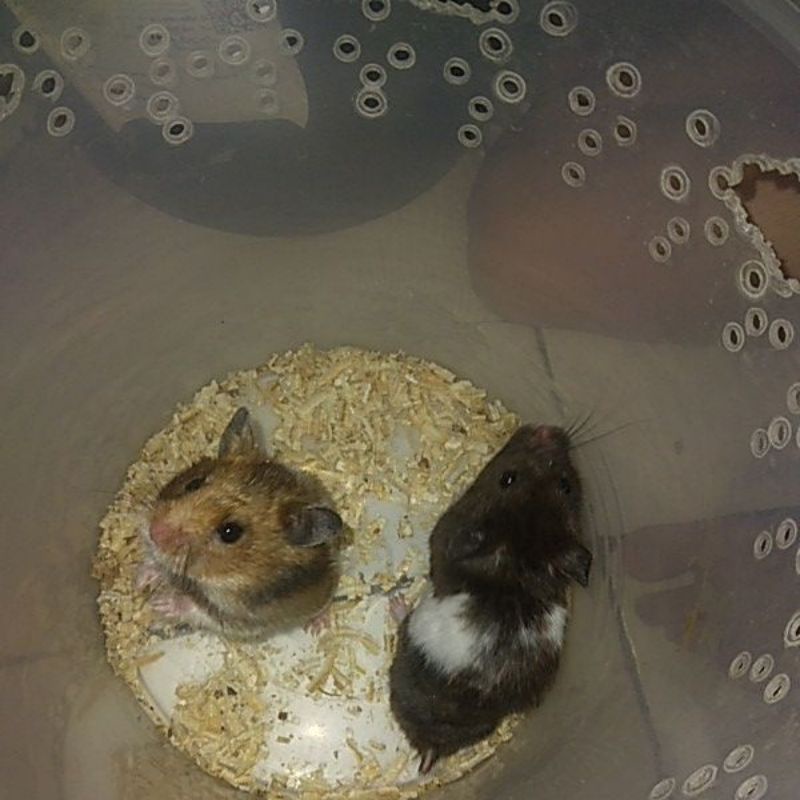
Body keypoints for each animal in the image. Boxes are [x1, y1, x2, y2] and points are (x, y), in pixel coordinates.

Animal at [138, 406, 344, 640]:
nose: (154, 532)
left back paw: (316, 627)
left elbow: (196, 609)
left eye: (230, 532)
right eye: (193, 484)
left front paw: (159, 602)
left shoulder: (238, 617)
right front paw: (141, 579)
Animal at [389, 424, 592, 773]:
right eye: (565, 485)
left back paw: (396, 603)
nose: (545, 430)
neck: (519, 563)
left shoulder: (444, 532)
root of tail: (432, 746)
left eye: (506, 478)